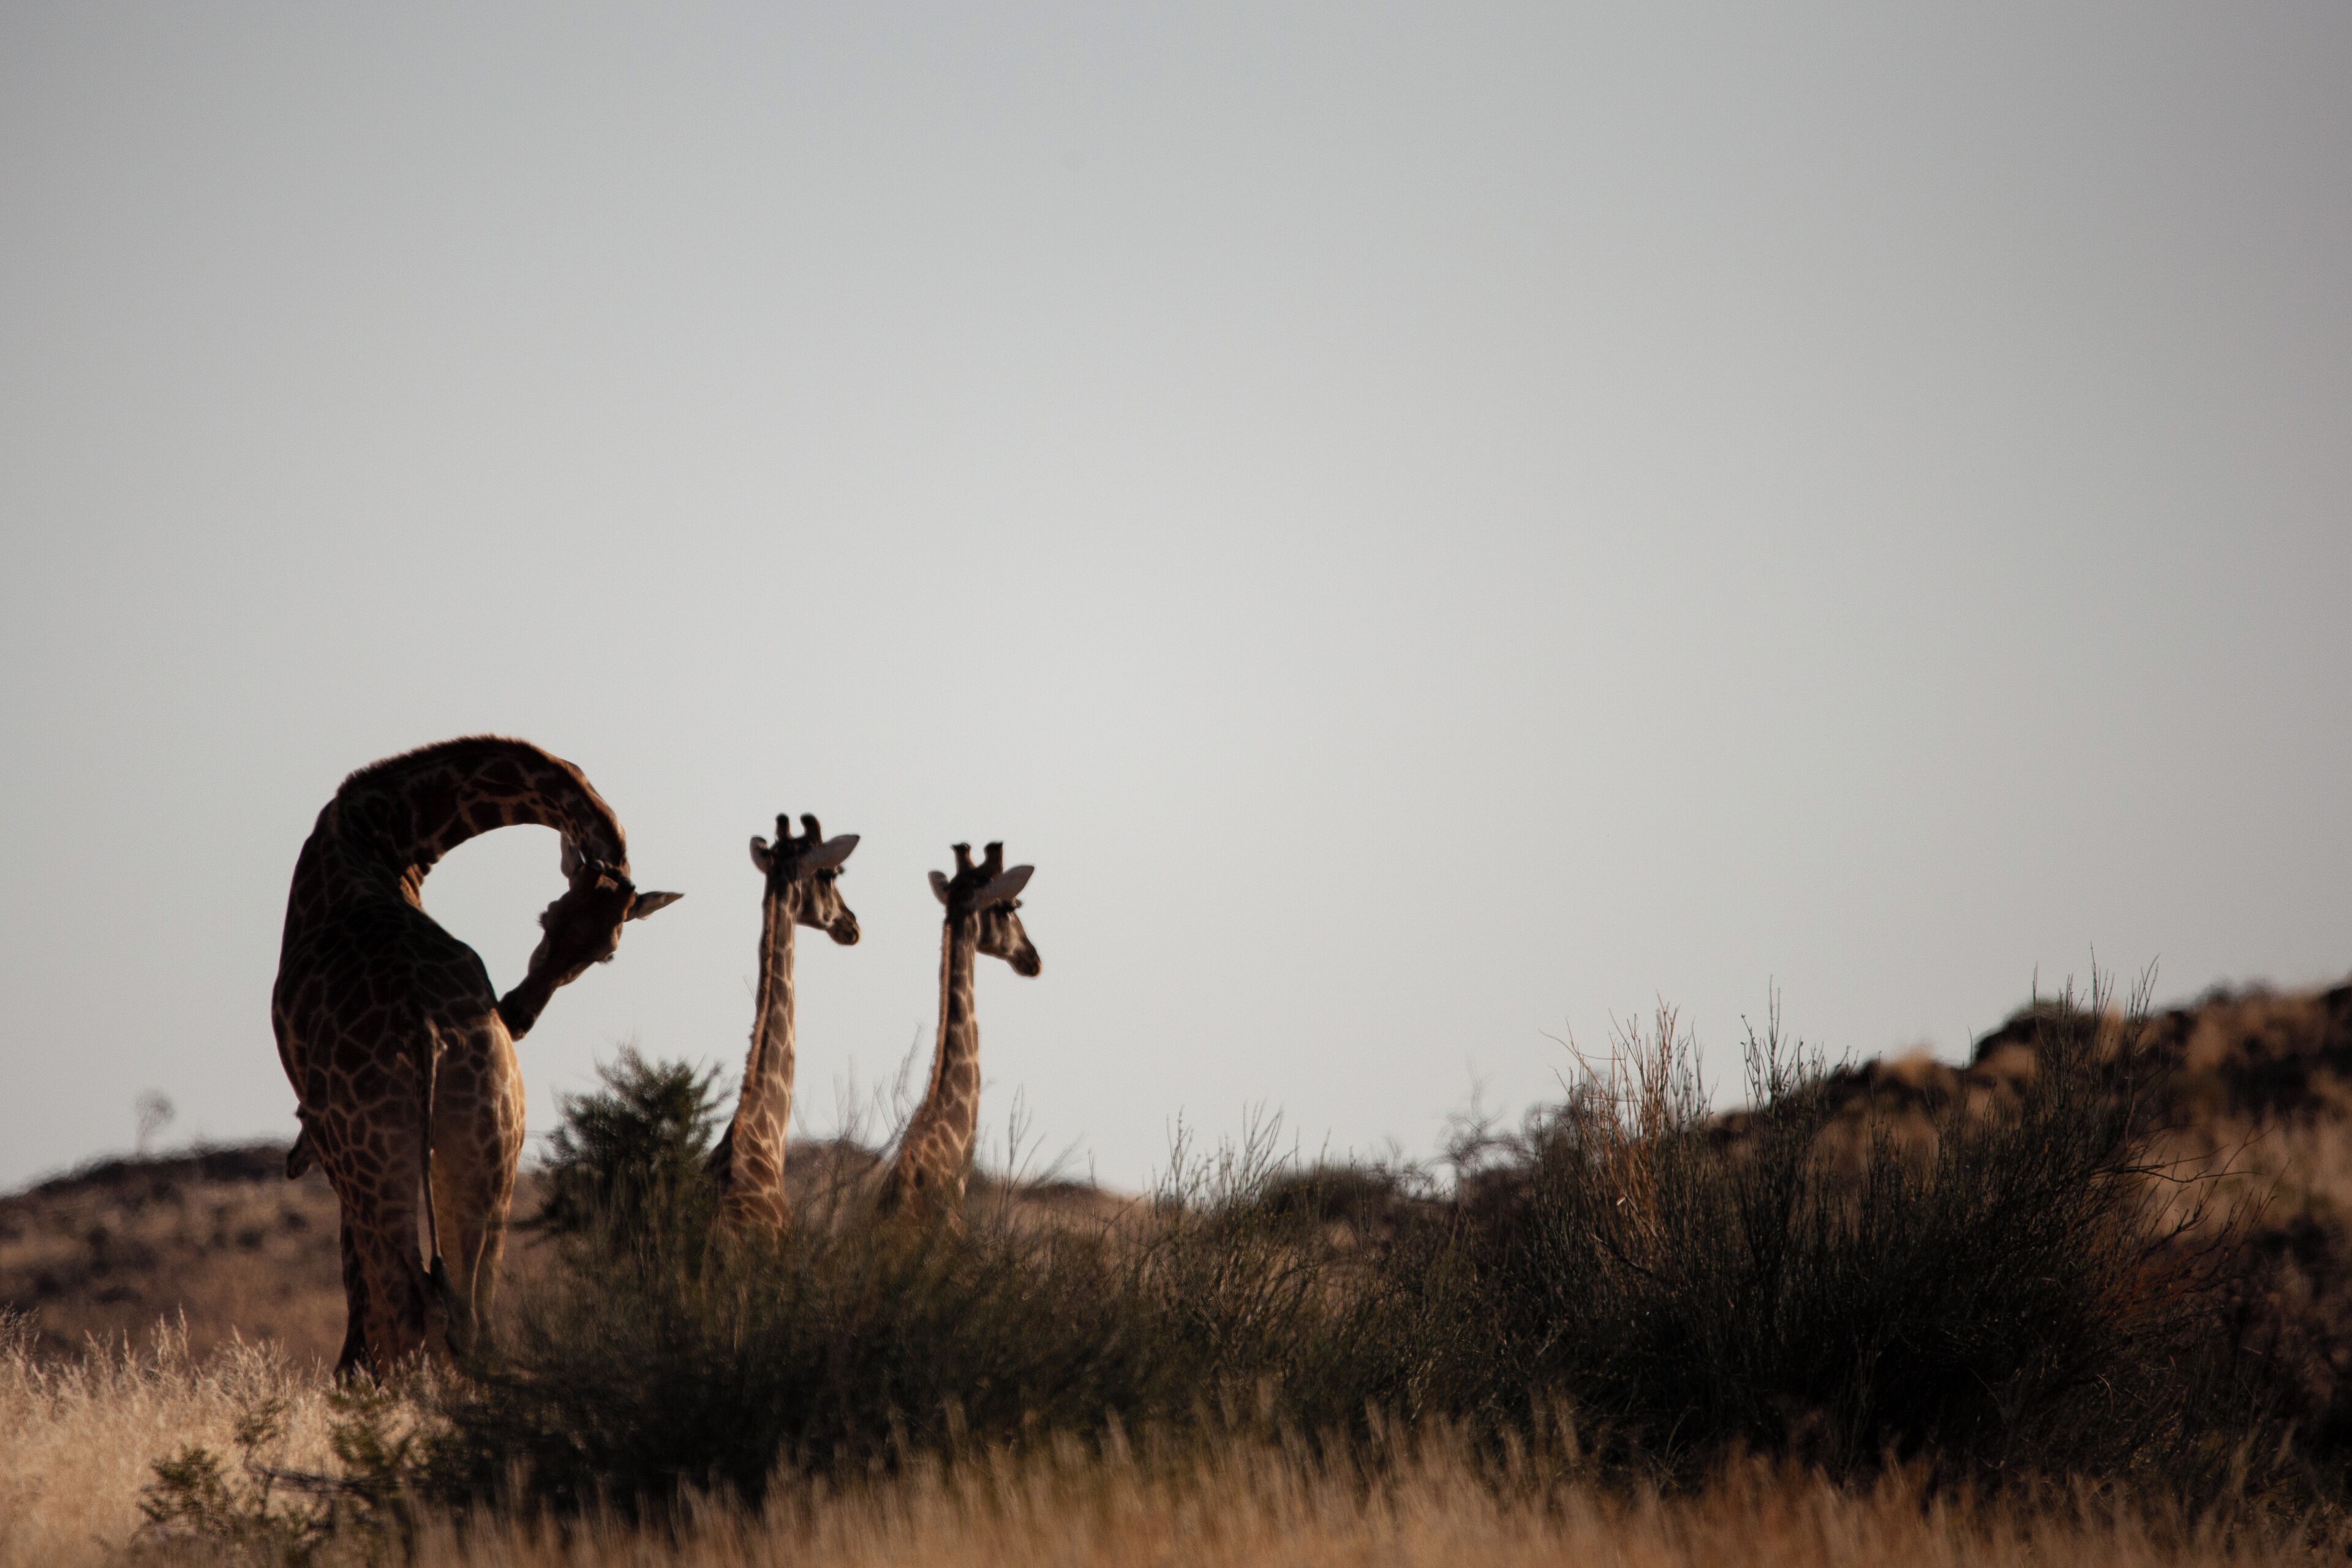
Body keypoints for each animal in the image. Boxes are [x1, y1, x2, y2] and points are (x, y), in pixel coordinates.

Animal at [271, 736, 679, 1376]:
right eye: (548, 916)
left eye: (604, 952)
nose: (517, 1012)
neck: (382, 832)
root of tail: (426, 1035)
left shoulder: (322, 1136)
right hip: (491, 1147)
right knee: (472, 1313)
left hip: (369, 1157)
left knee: (408, 1301)